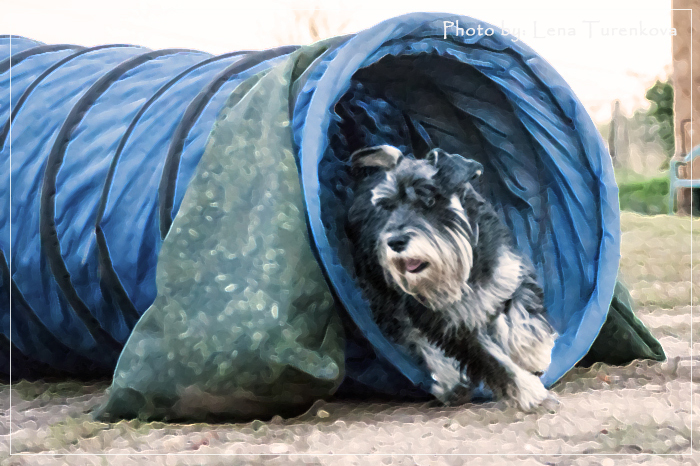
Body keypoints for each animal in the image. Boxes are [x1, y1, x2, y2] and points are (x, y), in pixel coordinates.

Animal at [345, 145, 557, 411]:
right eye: (386, 207)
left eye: (428, 200)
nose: (394, 242)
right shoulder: (449, 324)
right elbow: (490, 357)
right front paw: (527, 390)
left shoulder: (509, 275)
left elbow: (521, 314)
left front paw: (534, 353)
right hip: (388, 303)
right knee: (416, 338)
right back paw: (451, 383)